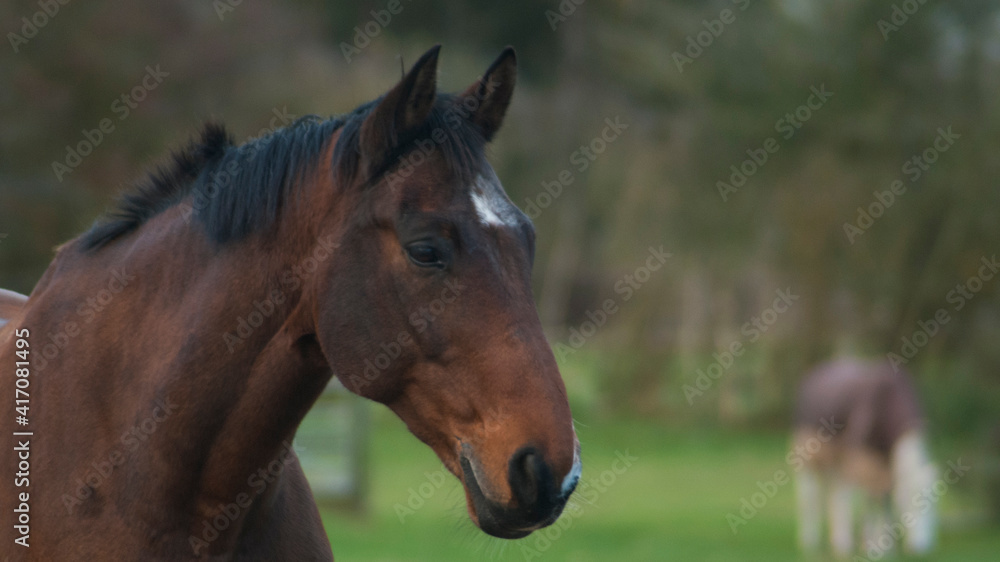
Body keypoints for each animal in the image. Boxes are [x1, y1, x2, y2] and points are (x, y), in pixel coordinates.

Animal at [793, 357, 937, 558]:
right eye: (908, 501)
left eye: (934, 506)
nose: (920, 548)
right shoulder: (862, 458)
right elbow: (871, 498)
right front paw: (871, 544)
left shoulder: (884, 462)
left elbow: (884, 498)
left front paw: (885, 544)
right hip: (809, 453)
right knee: (810, 496)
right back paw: (812, 541)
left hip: (838, 457)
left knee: (836, 491)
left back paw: (839, 540)